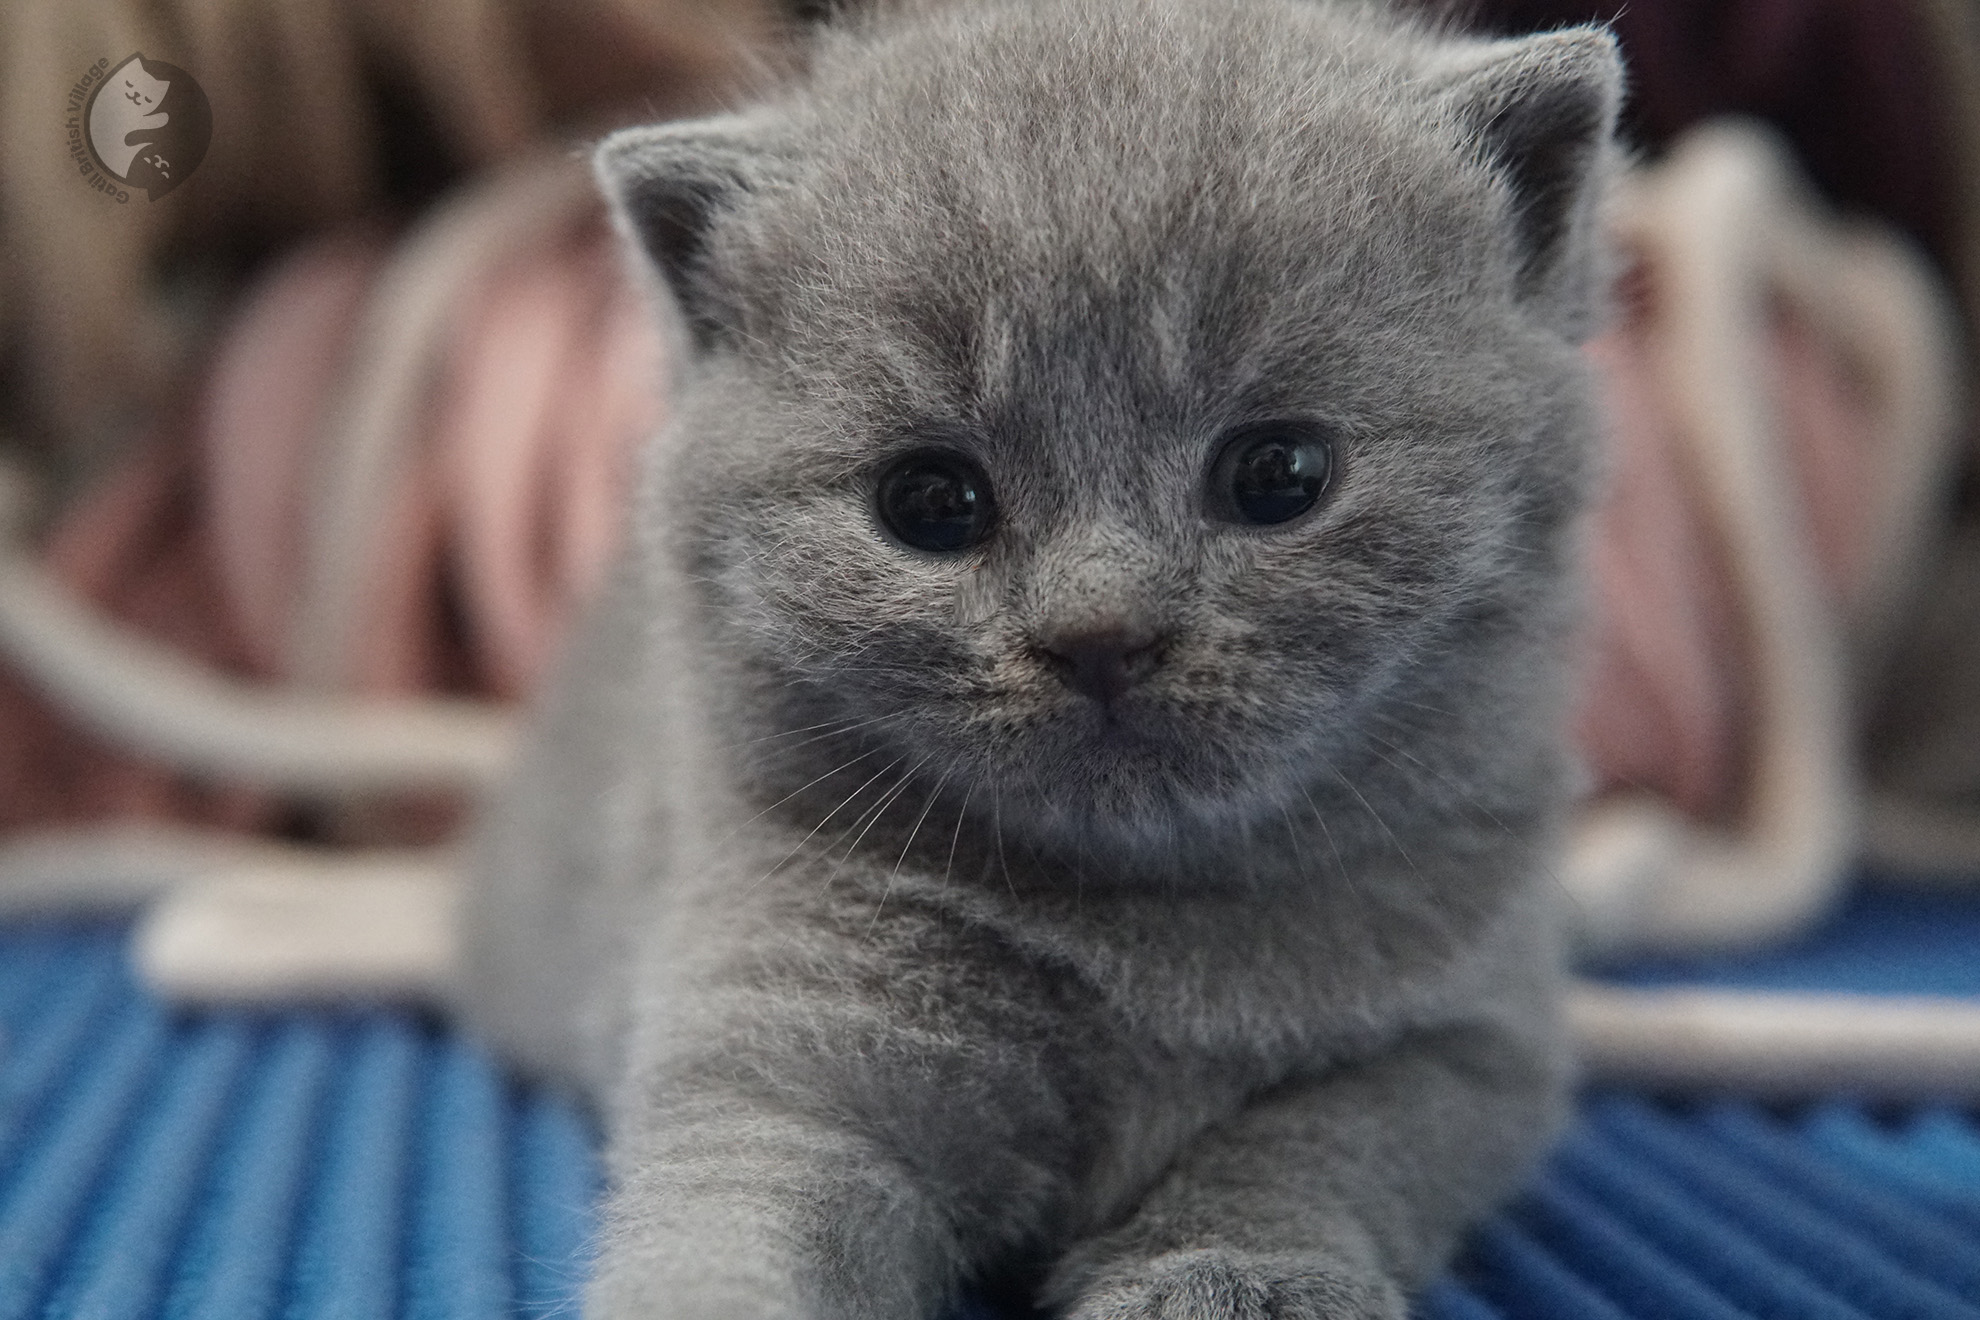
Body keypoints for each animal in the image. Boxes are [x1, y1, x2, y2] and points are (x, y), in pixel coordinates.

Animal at [463, 0, 1623, 1314]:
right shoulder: (772, 1049)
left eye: (1280, 474)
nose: (1100, 633)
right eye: (930, 502)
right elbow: (738, 1222)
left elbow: (1320, 1143)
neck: (1141, 933)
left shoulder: (1475, 1042)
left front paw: (1230, 1271)